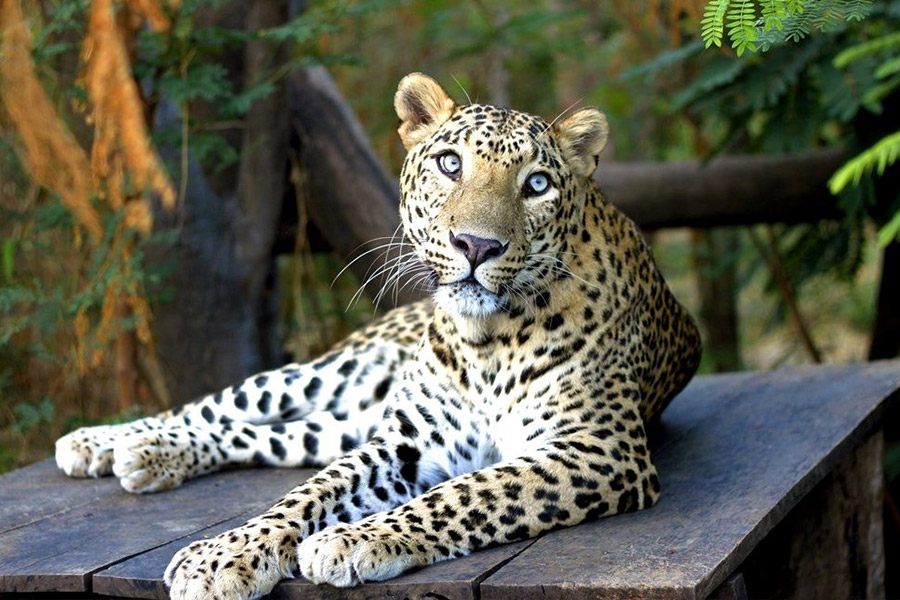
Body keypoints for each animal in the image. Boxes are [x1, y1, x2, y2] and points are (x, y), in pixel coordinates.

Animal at [54, 72, 701, 599]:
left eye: (537, 184)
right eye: (450, 164)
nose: (476, 246)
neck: (486, 339)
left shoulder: (598, 447)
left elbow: (469, 492)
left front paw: (352, 539)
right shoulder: (405, 440)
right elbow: (307, 494)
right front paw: (223, 555)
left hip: (350, 418)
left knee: (272, 436)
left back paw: (144, 455)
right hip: (334, 372)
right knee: (223, 406)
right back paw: (106, 442)